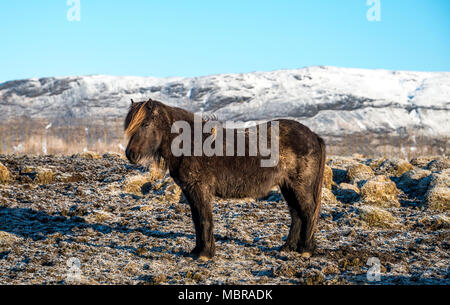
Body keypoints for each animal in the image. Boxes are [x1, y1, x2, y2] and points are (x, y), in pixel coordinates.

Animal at [125, 98, 326, 260]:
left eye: (145, 124)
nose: (130, 154)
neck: (191, 144)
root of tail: (313, 135)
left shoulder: (200, 190)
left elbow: (204, 219)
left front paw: (205, 254)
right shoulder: (190, 191)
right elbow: (196, 220)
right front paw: (197, 251)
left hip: (300, 187)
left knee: (307, 211)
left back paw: (305, 250)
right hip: (287, 187)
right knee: (296, 214)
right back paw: (288, 247)